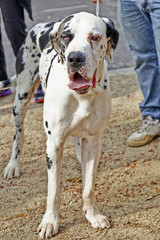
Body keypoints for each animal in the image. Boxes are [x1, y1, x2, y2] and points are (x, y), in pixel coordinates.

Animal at [1, 12, 119, 239]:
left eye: (95, 37)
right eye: (66, 36)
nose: (75, 58)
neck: (82, 96)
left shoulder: (93, 141)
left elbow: (89, 186)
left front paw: (93, 215)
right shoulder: (53, 145)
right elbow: (53, 190)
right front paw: (50, 222)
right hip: (21, 98)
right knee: (18, 135)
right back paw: (13, 165)